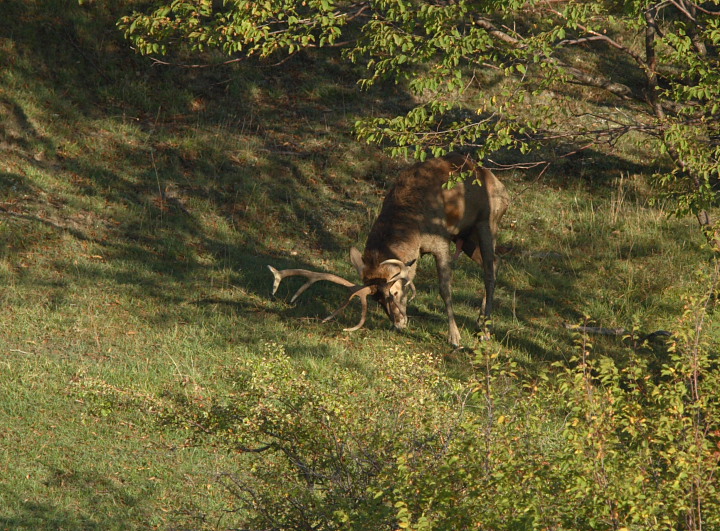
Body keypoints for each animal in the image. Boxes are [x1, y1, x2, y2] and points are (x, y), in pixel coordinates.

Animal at [267, 152, 510, 347]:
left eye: (395, 292)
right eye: (376, 300)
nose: (399, 324)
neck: (412, 220)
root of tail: (501, 186)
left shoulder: (440, 240)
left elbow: (445, 288)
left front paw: (454, 337)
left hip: (487, 221)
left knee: (489, 271)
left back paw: (486, 330)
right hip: (466, 236)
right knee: (496, 262)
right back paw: (479, 321)